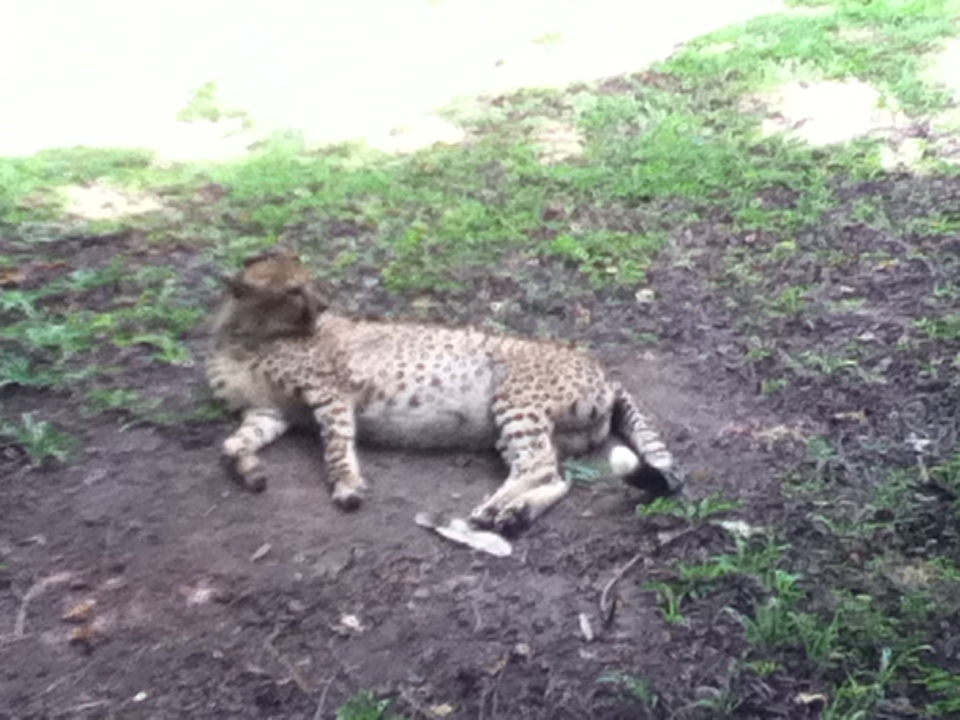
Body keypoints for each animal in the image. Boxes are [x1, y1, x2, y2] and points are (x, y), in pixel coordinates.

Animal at [206, 250, 681, 535]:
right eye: (292, 290)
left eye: (308, 282)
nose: (324, 302)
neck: (246, 335)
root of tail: (602, 368)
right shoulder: (269, 412)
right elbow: (230, 446)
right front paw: (250, 469)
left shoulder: (330, 394)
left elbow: (336, 447)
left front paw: (347, 486)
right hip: (530, 429)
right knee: (556, 475)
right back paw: (516, 513)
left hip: (514, 402)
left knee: (538, 464)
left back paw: (496, 507)